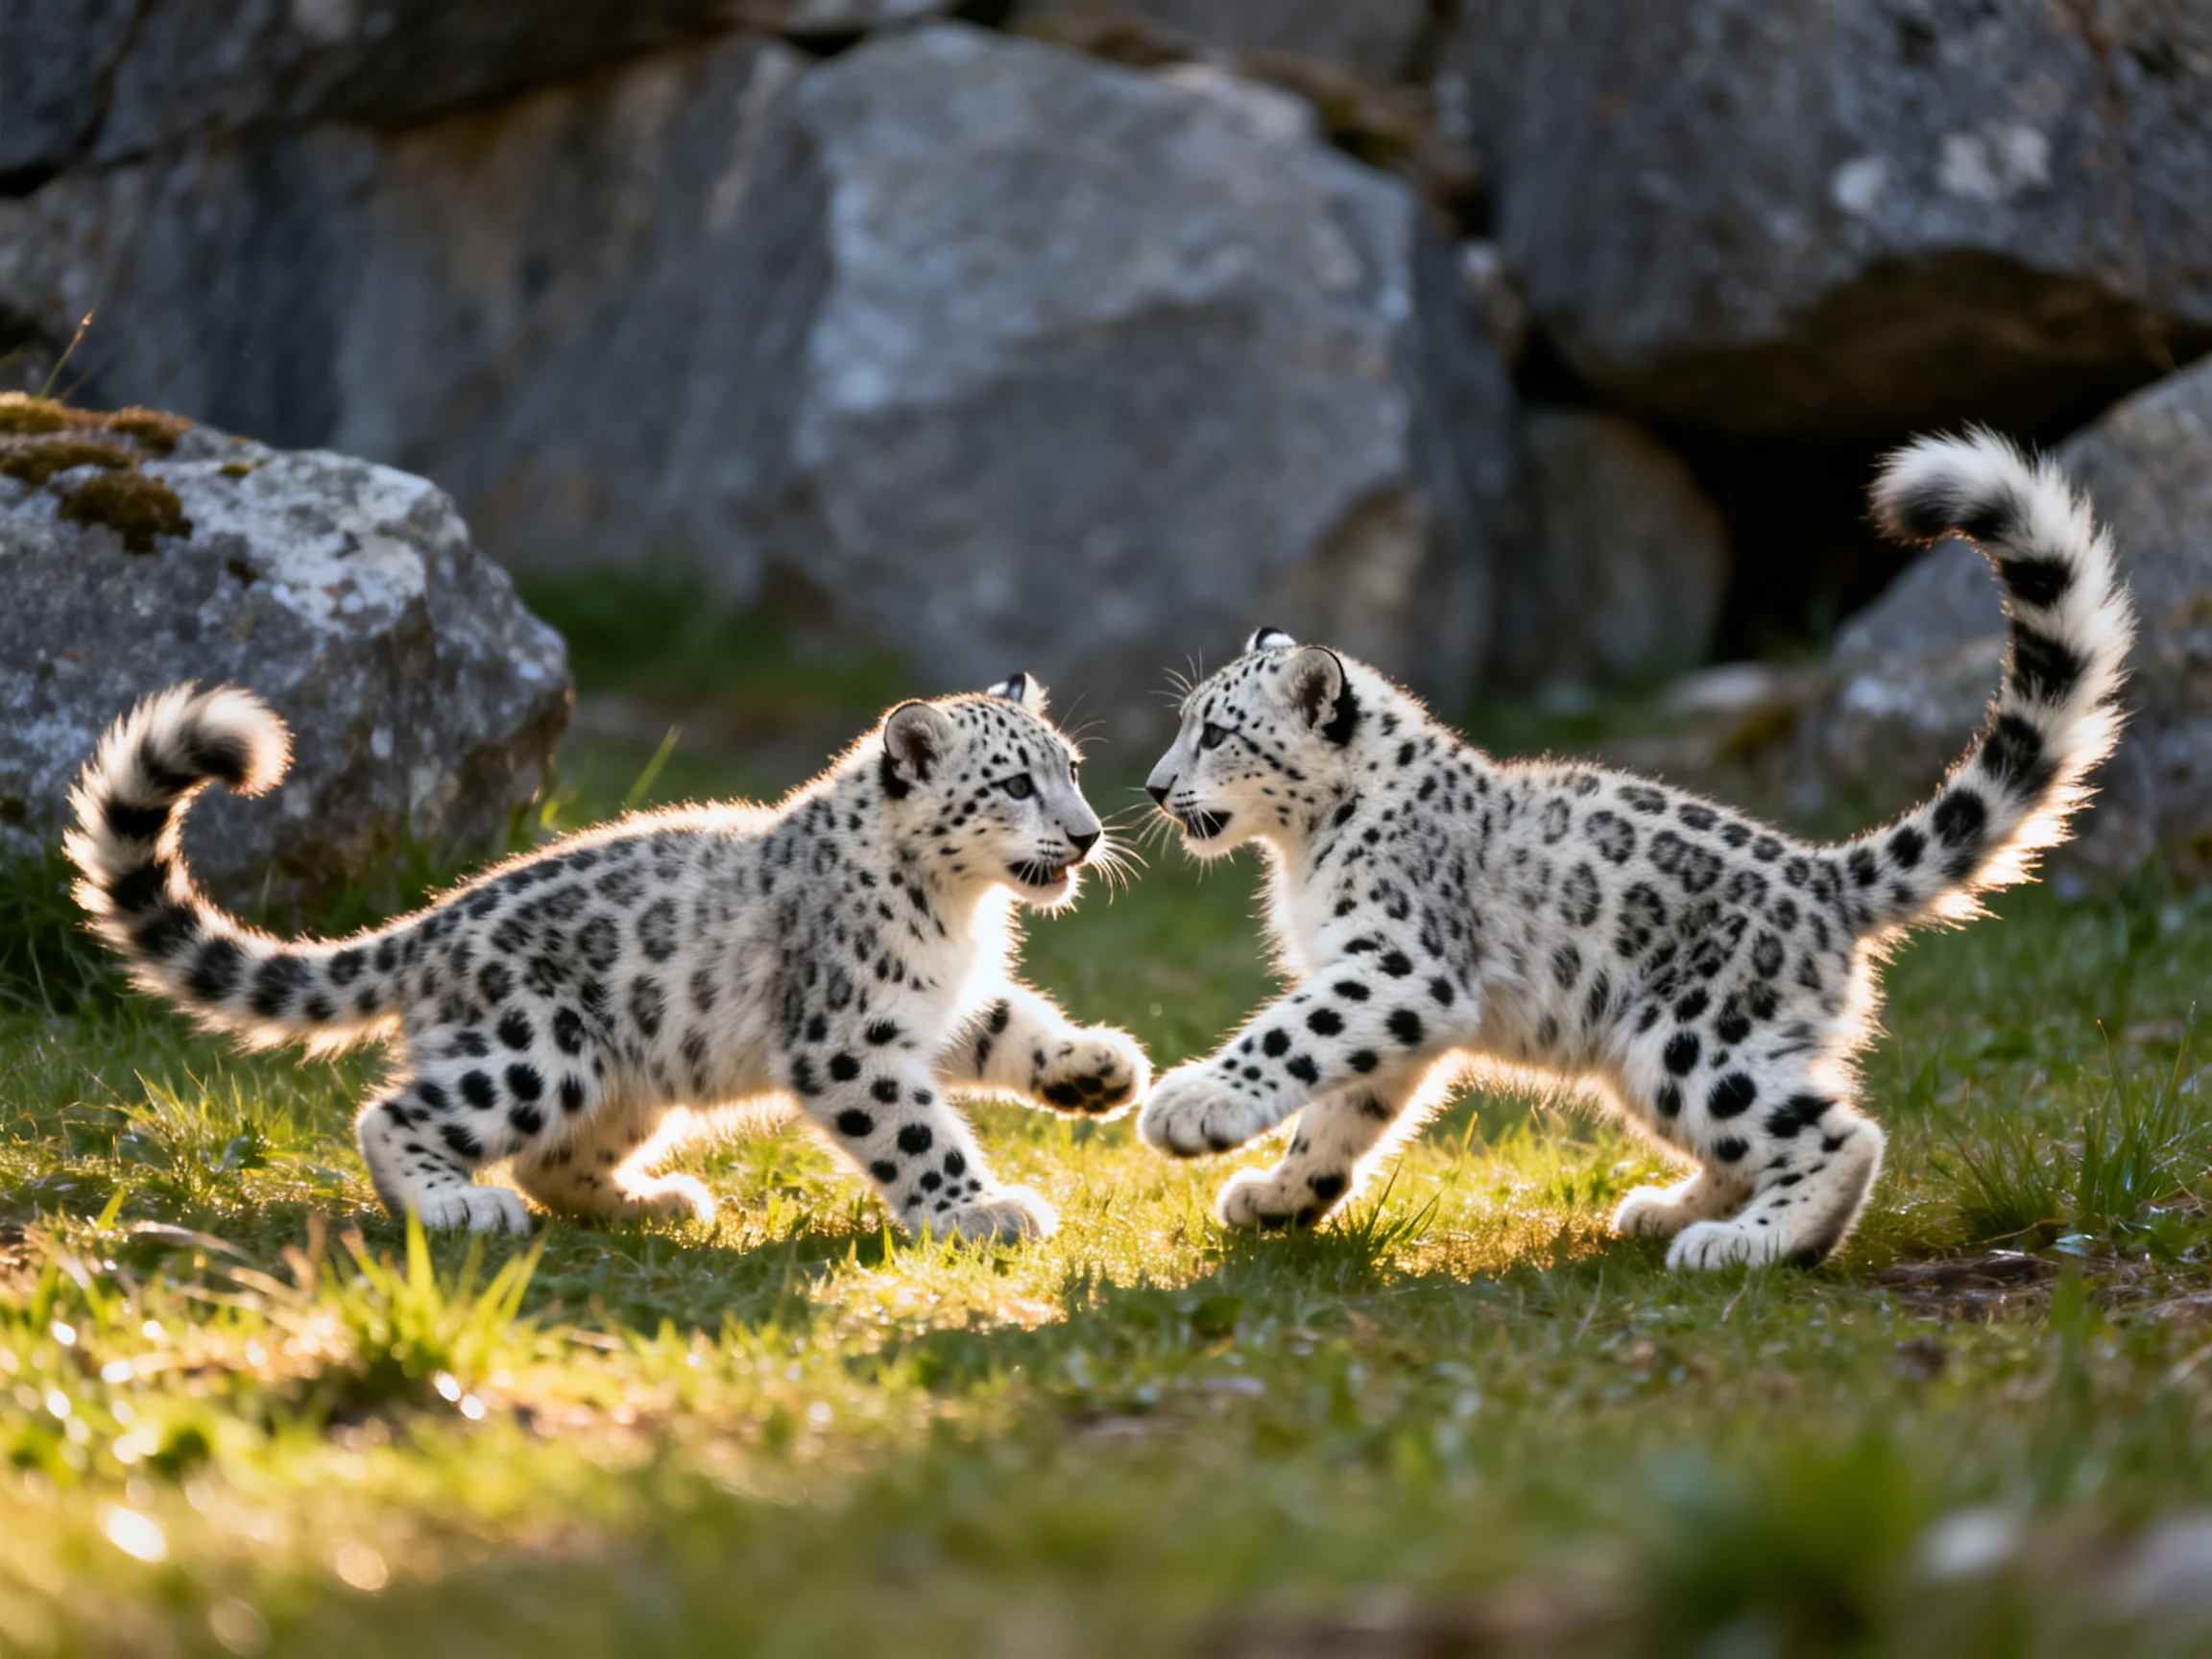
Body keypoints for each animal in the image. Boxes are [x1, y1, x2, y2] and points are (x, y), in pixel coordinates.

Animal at [68, 672, 1150, 1241]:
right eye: (1015, 783)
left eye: (1072, 768)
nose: (1088, 834)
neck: (960, 913)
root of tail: (432, 925)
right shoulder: (848, 1035)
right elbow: (917, 1131)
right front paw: (982, 1210)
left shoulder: (941, 1004)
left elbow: (1012, 1026)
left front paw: (1102, 1070)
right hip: (533, 1051)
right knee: (395, 1114)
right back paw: (458, 1208)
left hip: (629, 1079)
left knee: (556, 1158)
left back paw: (654, 1199)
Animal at [1135, 431, 2133, 1269]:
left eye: (1216, 732)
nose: (1151, 785)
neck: (1302, 851)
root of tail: (1823, 877)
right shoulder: (1394, 996)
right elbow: (1343, 1108)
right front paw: (1278, 1195)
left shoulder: (1401, 962)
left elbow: (1293, 1034)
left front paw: (1191, 1106)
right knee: (1756, 1142)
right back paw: (1669, 1211)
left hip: (1692, 1040)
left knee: (1835, 1134)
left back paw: (1747, 1246)